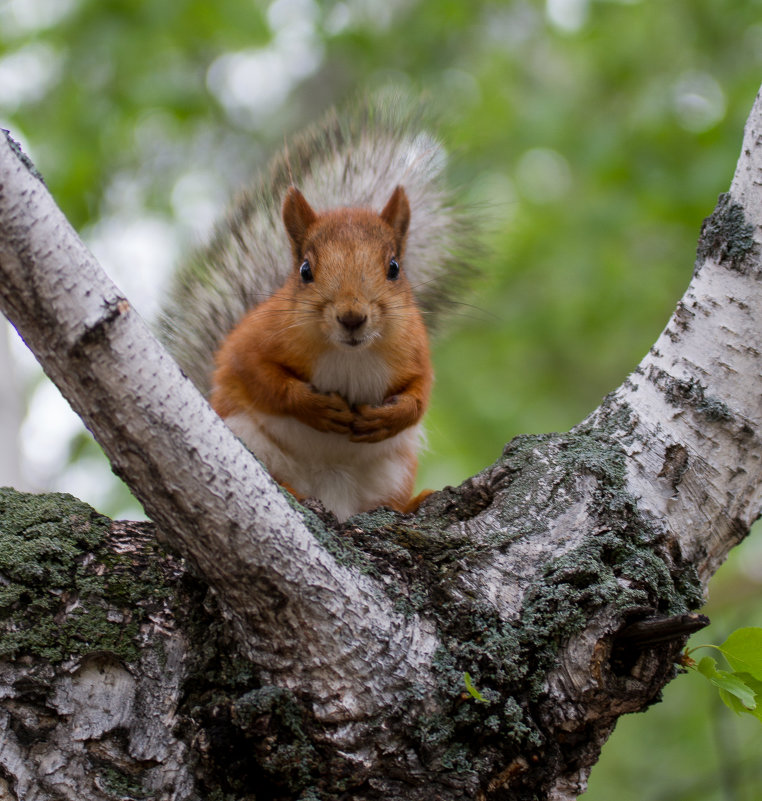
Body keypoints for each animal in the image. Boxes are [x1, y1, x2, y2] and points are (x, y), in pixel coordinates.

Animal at [208, 184, 434, 520]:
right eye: (305, 270)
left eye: (393, 268)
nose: (351, 317)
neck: (350, 354)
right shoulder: (251, 342)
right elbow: (262, 378)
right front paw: (314, 407)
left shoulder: (417, 353)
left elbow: (419, 396)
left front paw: (387, 418)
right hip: (246, 437)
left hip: (395, 472)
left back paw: (412, 504)